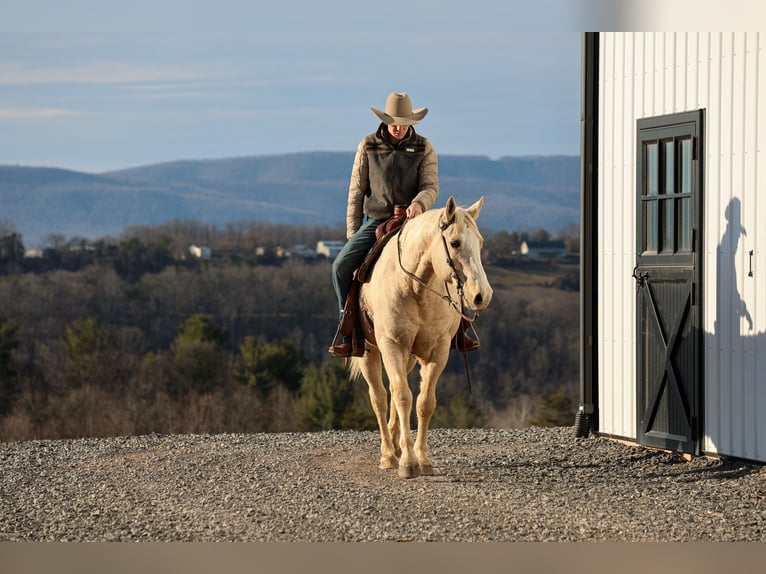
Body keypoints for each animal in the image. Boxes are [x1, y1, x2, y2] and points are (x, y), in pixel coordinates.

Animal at [349, 196, 493, 478]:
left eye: (480, 242)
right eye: (455, 242)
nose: (482, 295)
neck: (415, 287)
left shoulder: (438, 351)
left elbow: (424, 402)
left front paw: (423, 459)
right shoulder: (392, 345)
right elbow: (403, 397)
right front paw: (408, 463)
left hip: (408, 358)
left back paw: (395, 445)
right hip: (370, 351)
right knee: (380, 397)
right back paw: (388, 454)